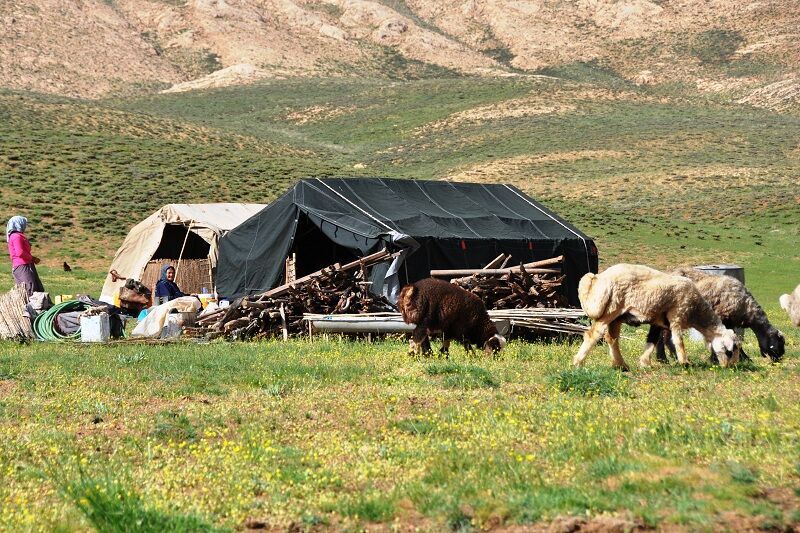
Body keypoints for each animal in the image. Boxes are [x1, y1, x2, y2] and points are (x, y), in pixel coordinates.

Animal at [572, 262, 740, 370]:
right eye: (729, 351)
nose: (728, 368)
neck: (697, 312)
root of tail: (599, 278)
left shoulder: (658, 321)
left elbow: (652, 341)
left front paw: (645, 362)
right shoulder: (677, 314)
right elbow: (678, 341)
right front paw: (685, 362)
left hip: (617, 316)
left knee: (612, 339)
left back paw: (621, 365)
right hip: (611, 308)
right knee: (594, 334)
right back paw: (578, 363)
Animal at [652, 266, 784, 362]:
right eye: (778, 344)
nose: (777, 360)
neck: (746, 307)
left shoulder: (730, 322)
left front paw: (741, 357)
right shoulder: (721, 318)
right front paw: (716, 358)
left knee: (665, 337)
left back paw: (671, 357)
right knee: (662, 337)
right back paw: (664, 358)